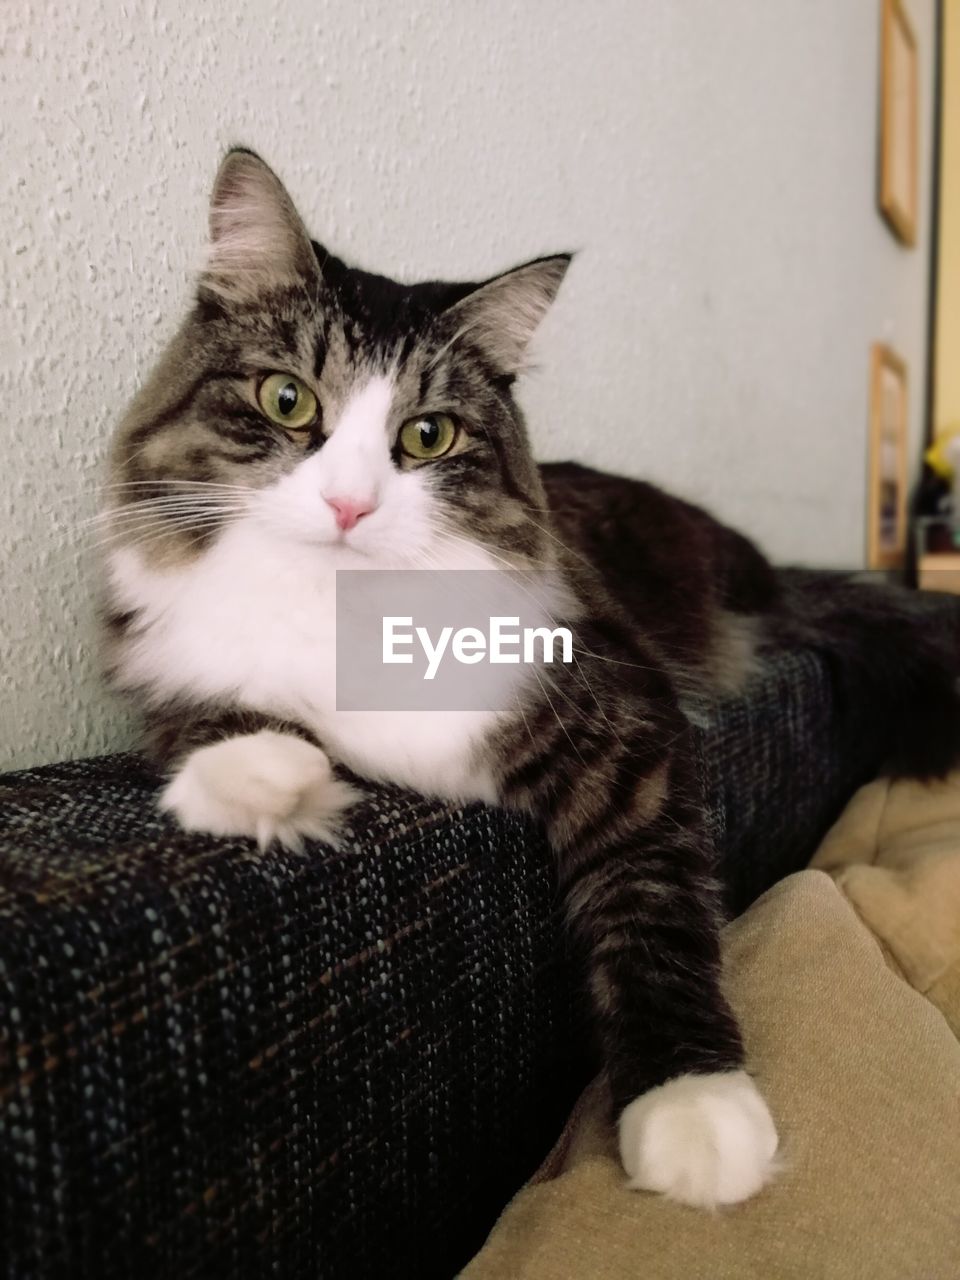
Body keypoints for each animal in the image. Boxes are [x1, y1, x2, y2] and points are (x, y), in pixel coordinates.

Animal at [97, 149, 960, 1208]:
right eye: (287, 400)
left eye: (427, 437)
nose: (350, 504)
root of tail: (760, 573)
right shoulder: (152, 656)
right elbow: (203, 720)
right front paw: (270, 781)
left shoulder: (626, 726)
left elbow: (652, 912)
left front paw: (694, 1108)